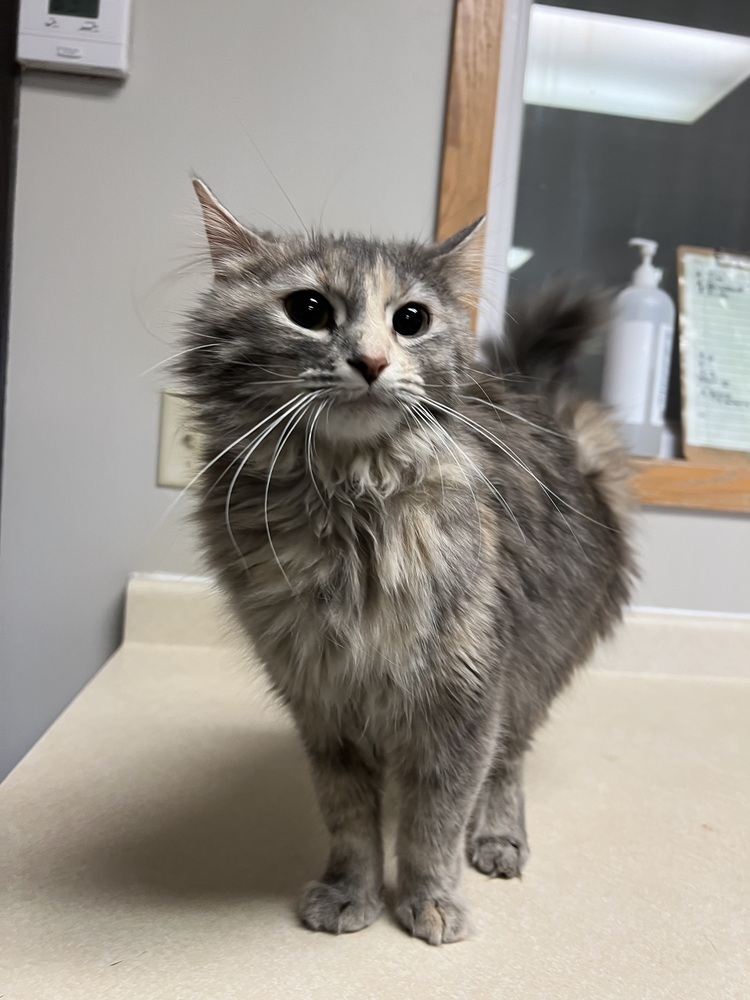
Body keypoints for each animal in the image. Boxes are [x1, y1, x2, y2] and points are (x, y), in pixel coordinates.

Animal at [173, 180, 636, 944]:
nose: (371, 362)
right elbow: (351, 822)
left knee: (508, 762)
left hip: (535, 666)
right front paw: (350, 893)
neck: (351, 511)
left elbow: (434, 823)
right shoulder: (321, 702)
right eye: (309, 311)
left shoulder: (467, 696)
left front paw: (431, 901)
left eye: (411, 320)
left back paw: (498, 838)